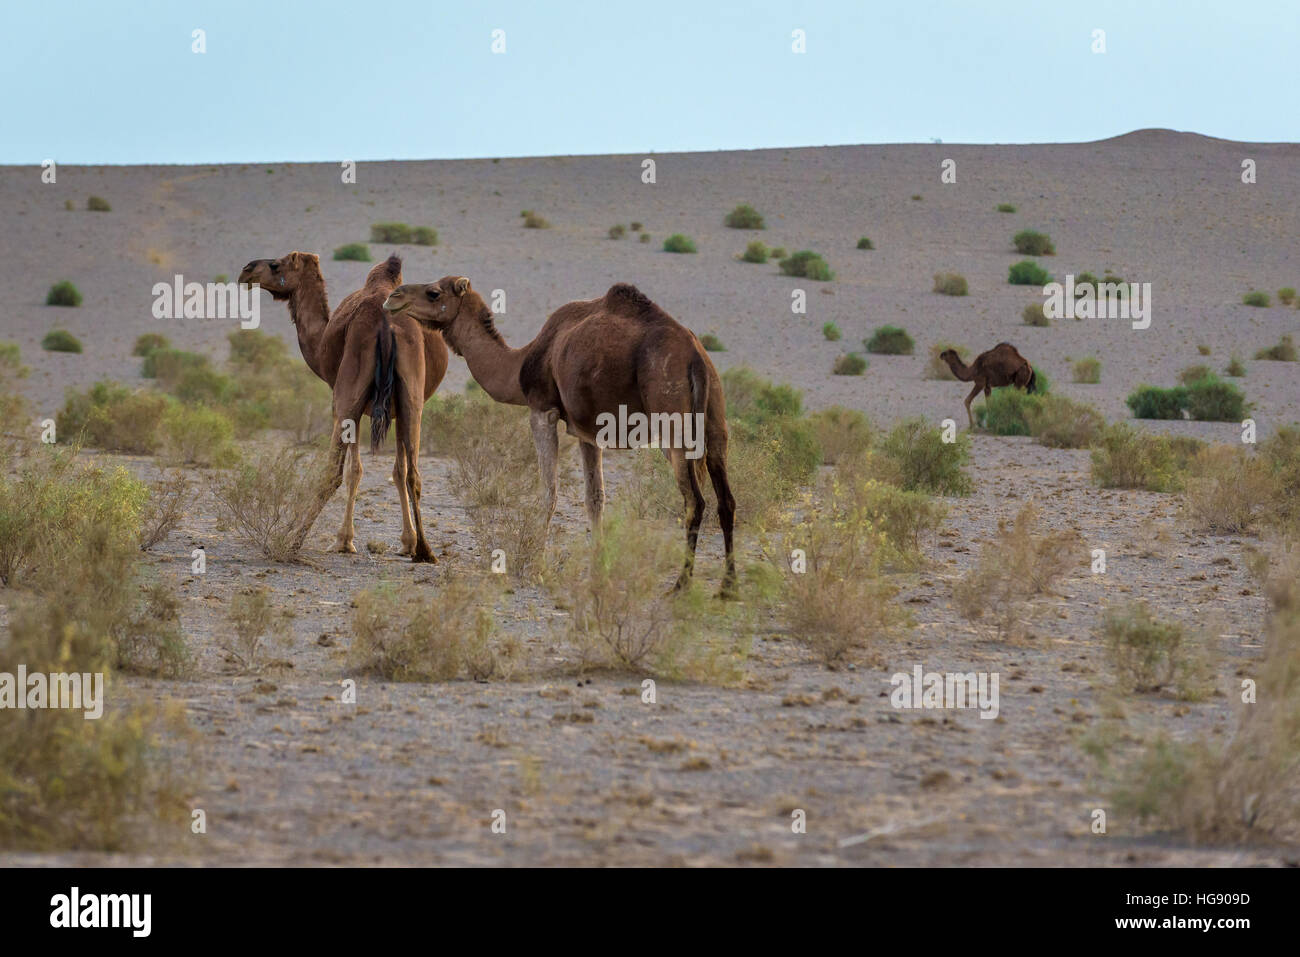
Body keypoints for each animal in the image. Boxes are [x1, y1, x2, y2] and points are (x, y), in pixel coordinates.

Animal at [237, 252, 449, 560]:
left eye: (276, 265)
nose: (246, 271)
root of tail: (386, 324)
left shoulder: (354, 406)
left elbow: (354, 471)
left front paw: (345, 540)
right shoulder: (397, 409)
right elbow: (399, 471)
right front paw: (408, 542)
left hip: (345, 399)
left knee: (333, 473)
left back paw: (293, 542)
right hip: (413, 401)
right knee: (415, 475)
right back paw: (425, 551)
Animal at [381, 277, 737, 595]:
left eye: (433, 292)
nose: (393, 298)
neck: (520, 363)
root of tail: (696, 358)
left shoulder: (542, 410)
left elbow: (549, 492)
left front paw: (535, 565)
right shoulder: (589, 431)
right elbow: (595, 498)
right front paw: (597, 571)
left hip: (671, 421)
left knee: (694, 500)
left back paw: (681, 584)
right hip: (716, 421)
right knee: (726, 499)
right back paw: (727, 586)